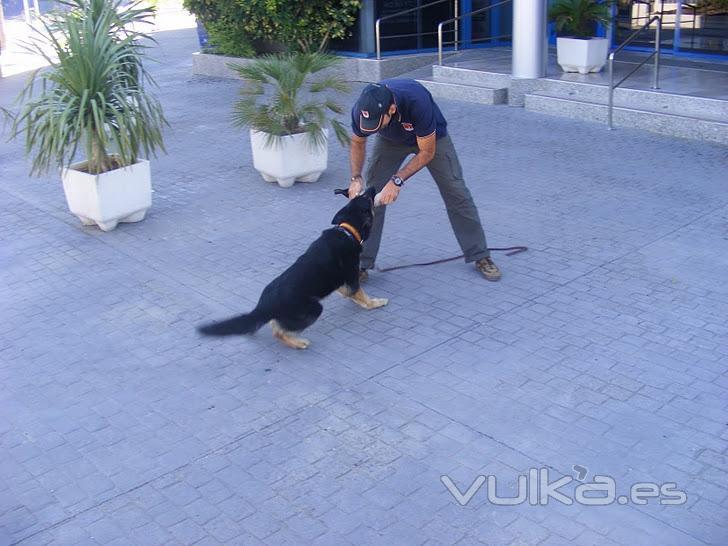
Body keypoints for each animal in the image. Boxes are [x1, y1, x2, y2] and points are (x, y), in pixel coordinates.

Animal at [193, 187, 386, 348]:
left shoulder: (343, 283)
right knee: (278, 332)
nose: (372, 187)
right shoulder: (352, 278)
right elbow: (362, 295)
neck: (348, 230)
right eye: (366, 197)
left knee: (274, 324)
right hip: (314, 309)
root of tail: (263, 306)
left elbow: (351, 294)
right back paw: (298, 343)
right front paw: (375, 303)